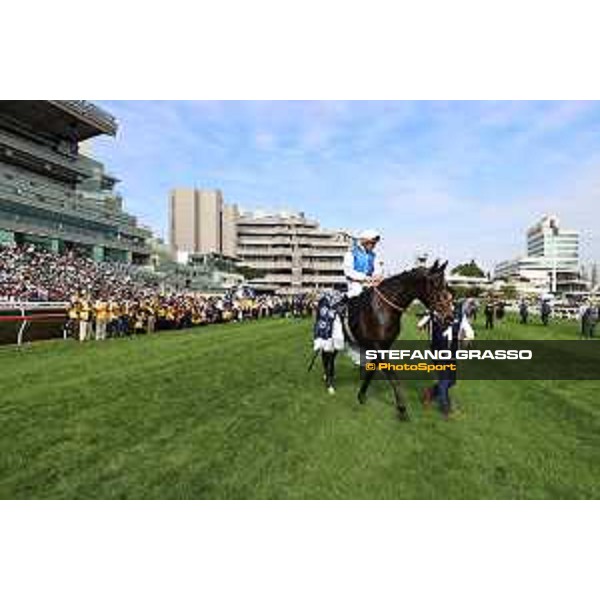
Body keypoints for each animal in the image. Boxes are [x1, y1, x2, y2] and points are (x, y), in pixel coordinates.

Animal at [326, 260, 452, 420]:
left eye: (445, 284)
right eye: (435, 285)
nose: (449, 317)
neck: (383, 308)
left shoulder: (383, 347)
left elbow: (371, 370)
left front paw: (361, 395)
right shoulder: (378, 347)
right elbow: (392, 375)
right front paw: (402, 408)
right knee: (328, 358)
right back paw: (329, 385)